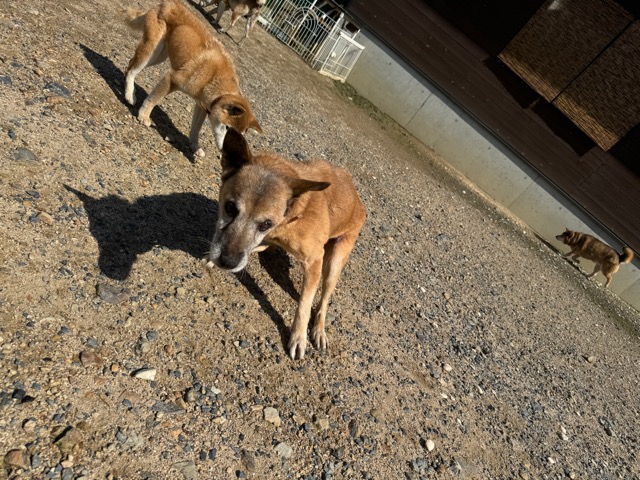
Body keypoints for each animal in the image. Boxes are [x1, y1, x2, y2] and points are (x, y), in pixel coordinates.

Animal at [124, 0, 263, 157]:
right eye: (228, 128)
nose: (231, 150)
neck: (214, 80)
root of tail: (167, 3)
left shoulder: (203, 106)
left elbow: (196, 129)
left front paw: (195, 146)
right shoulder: (172, 78)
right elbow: (153, 99)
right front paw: (144, 116)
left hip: (159, 56)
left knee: (130, 65)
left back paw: (131, 92)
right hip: (152, 50)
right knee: (131, 70)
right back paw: (129, 95)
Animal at [207, 129, 366, 360]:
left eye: (266, 223)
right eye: (230, 208)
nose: (227, 261)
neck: (291, 215)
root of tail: (359, 203)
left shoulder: (314, 262)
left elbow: (304, 305)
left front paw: (298, 338)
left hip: (334, 262)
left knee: (323, 302)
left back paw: (319, 330)